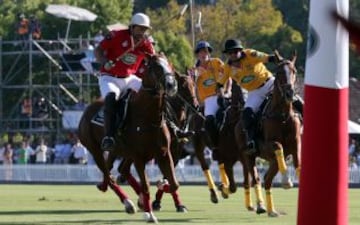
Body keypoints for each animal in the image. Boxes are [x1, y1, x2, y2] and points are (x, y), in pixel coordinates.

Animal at [79, 53, 180, 223]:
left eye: (170, 65)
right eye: (156, 67)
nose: (171, 85)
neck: (148, 117)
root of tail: (88, 109)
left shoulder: (163, 153)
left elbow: (174, 184)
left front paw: (160, 186)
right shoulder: (138, 156)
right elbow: (146, 185)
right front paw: (149, 214)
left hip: (119, 151)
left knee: (115, 171)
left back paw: (135, 200)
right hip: (94, 149)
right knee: (109, 175)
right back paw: (128, 203)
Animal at [235, 50, 302, 216]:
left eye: (294, 71)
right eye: (279, 72)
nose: (289, 93)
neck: (283, 115)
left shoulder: (296, 143)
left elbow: (298, 164)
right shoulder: (267, 145)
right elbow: (278, 145)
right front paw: (286, 181)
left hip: (272, 161)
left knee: (267, 179)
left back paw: (272, 211)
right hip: (248, 155)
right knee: (257, 179)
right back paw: (261, 206)